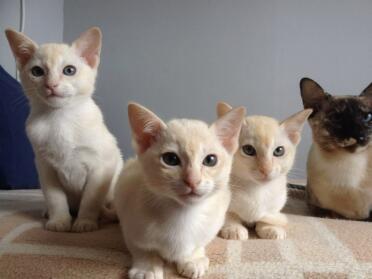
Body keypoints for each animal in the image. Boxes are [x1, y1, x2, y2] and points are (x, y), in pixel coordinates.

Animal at [4, 27, 123, 233]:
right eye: (37, 71)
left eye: (69, 70)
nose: (51, 85)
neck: (60, 119)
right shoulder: (45, 167)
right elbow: (55, 198)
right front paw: (59, 221)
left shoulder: (101, 166)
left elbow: (90, 199)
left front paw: (85, 222)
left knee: (107, 205)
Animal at [115, 103, 246, 279]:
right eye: (170, 159)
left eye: (210, 160)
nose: (192, 180)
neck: (184, 215)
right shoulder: (130, 222)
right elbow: (141, 249)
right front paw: (147, 267)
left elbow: (199, 243)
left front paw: (192, 259)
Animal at [217, 103, 312, 241]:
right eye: (248, 149)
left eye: (279, 151)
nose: (266, 169)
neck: (257, 189)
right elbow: (229, 214)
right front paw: (233, 228)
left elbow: (268, 215)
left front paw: (270, 227)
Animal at [300, 77, 372, 220]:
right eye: (336, 118)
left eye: (367, 117)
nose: (359, 136)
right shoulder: (315, 206)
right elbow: (330, 214)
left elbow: (368, 216)